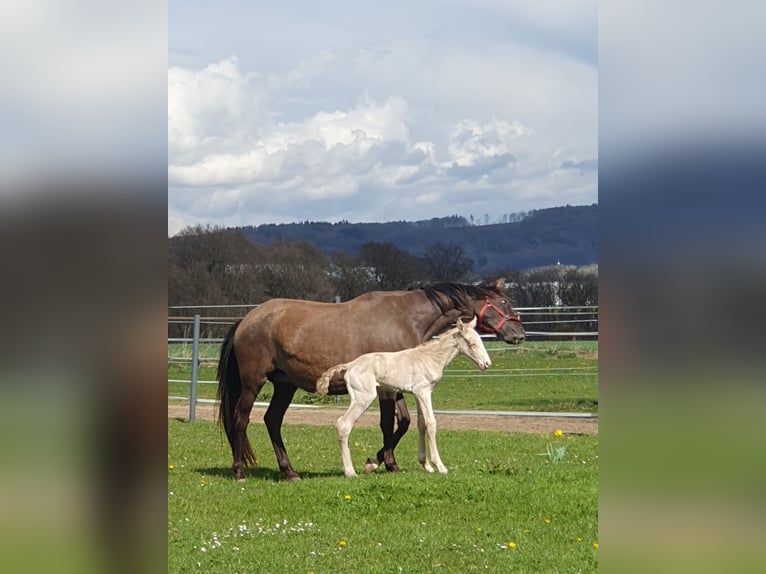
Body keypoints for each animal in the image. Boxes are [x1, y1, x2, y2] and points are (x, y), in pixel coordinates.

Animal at [219, 280, 524, 482]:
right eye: (503, 303)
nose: (519, 334)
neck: (405, 319)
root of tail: (246, 319)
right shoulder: (388, 391)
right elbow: (389, 424)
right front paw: (381, 463)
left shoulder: (396, 387)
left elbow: (405, 422)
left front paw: (382, 462)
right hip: (253, 384)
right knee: (241, 420)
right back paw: (239, 471)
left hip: (285, 385)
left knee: (272, 420)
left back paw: (289, 471)